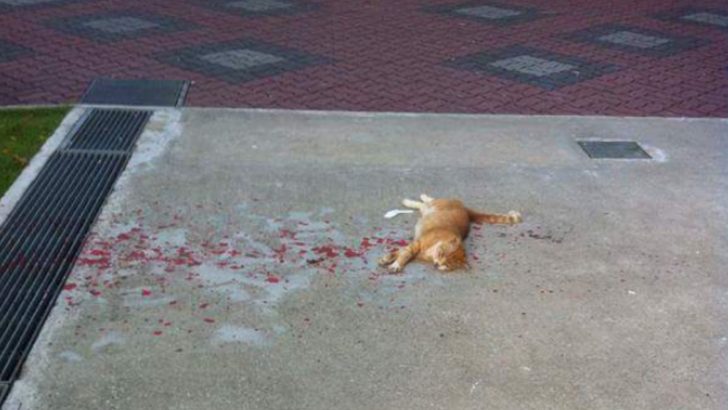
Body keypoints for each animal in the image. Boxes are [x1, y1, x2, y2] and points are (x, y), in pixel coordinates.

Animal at [378, 195, 520, 272]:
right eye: (441, 254)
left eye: (446, 265)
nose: (437, 265)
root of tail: (466, 210)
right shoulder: (416, 244)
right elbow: (403, 254)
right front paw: (393, 263)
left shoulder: (415, 250)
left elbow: (400, 252)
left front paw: (389, 260)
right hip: (435, 204)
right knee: (428, 200)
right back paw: (416, 198)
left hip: (426, 209)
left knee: (421, 205)